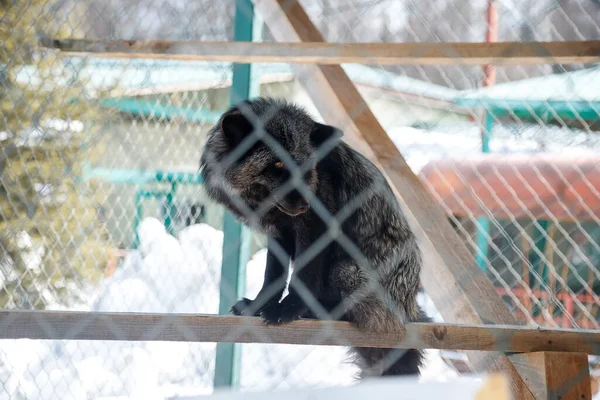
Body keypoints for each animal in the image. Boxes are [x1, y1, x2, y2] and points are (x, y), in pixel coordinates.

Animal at [200, 97, 426, 378]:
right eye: (278, 164)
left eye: (307, 166)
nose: (306, 204)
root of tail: (411, 310)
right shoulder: (279, 234)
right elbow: (272, 276)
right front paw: (258, 306)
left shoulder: (317, 229)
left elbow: (304, 276)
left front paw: (287, 310)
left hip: (346, 271)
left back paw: (322, 312)